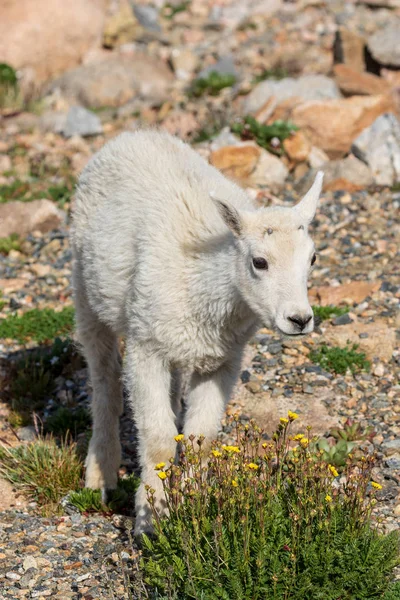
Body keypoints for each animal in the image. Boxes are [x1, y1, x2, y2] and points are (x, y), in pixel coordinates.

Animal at [71, 129, 322, 532]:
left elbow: (199, 440)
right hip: (86, 288)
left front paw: (192, 510)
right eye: (259, 262)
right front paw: (151, 522)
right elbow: (157, 439)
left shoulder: (223, 359)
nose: (299, 319)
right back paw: (100, 476)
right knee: (104, 380)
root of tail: (133, 133)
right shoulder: (146, 348)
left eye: (312, 259)